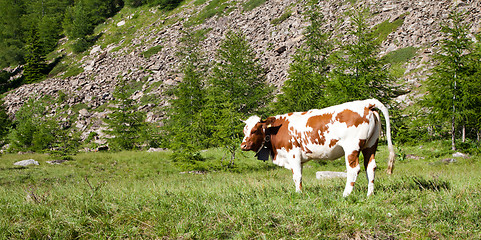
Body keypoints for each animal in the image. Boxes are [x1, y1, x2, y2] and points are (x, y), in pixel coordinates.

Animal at [240, 98, 394, 196]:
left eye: (255, 130)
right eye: (244, 130)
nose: (243, 145)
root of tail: (366, 103)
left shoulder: (293, 154)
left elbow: (297, 176)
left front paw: (298, 194)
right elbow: (299, 176)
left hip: (352, 147)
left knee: (353, 169)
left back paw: (346, 194)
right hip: (371, 145)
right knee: (371, 167)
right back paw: (370, 194)